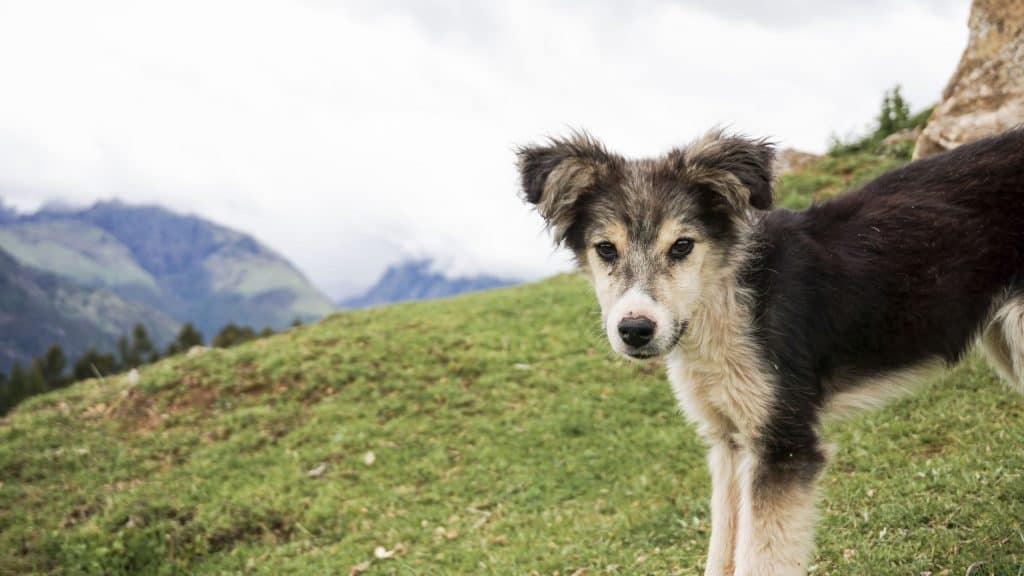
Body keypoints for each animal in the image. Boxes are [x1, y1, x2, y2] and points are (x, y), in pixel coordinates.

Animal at [516, 127, 1024, 569]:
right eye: (606, 249)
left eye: (682, 246)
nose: (636, 329)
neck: (726, 299)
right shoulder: (730, 443)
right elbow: (722, 554)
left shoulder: (784, 444)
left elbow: (759, 561)